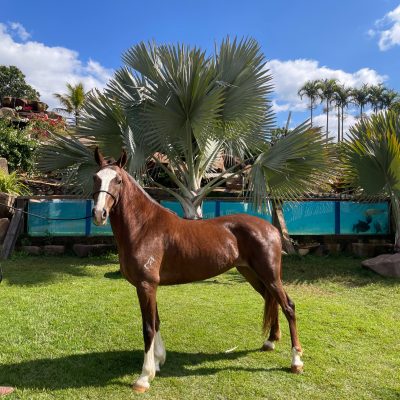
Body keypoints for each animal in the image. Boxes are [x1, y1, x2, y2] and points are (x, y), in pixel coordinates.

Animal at [91, 148, 304, 392]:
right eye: (95, 178)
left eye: (117, 180)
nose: (99, 213)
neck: (144, 227)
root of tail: (272, 229)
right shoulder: (151, 286)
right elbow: (156, 322)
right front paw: (158, 361)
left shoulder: (146, 285)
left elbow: (148, 328)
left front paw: (144, 377)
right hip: (252, 274)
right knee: (272, 300)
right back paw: (270, 341)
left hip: (270, 275)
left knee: (288, 306)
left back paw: (296, 361)